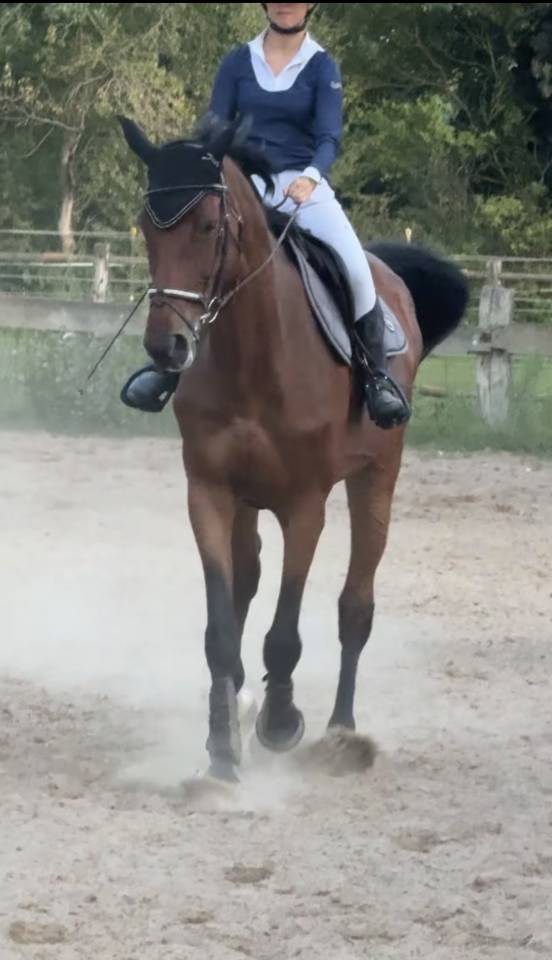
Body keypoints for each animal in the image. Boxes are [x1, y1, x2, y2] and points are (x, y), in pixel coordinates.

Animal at [119, 115, 468, 781]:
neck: (253, 352)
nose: (166, 347)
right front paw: (221, 750)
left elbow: (284, 633)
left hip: (375, 479)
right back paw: (239, 702)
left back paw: (341, 732)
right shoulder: (210, 493)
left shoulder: (305, 504)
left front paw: (280, 724)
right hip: (248, 500)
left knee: (355, 606)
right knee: (248, 579)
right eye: (148, 227)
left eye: (209, 227)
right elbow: (220, 627)